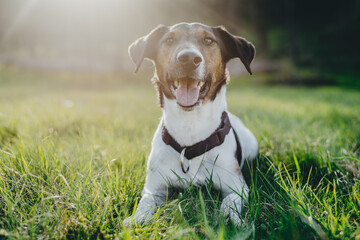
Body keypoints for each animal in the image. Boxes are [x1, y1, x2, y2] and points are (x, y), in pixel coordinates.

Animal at [124, 22, 258, 225]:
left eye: (209, 40)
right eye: (169, 40)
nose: (188, 58)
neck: (190, 127)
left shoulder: (237, 186)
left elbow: (229, 202)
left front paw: (230, 218)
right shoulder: (154, 188)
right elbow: (145, 203)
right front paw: (136, 219)